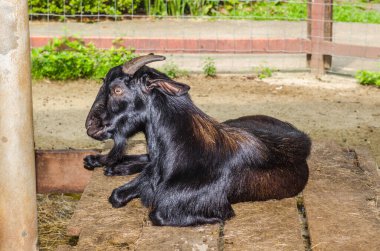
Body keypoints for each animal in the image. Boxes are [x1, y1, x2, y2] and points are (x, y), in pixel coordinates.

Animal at [84, 54, 312, 226]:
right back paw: (99, 162)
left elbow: (156, 214)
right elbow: (116, 195)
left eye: (117, 90)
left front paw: (214, 219)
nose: (90, 126)